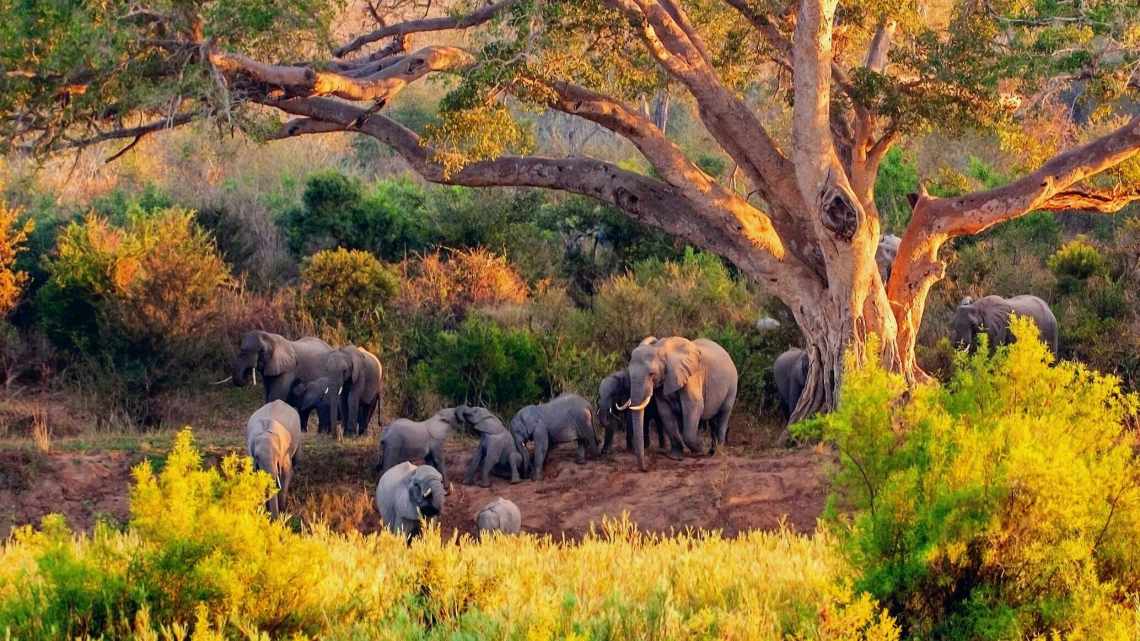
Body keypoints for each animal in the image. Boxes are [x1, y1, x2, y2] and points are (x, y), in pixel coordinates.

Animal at [624, 335, 738, 469]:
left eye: (652, 374)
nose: (646, 469)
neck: (661, 349)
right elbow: (665, 412)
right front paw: (675, 457)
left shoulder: (692, 376)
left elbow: (694, 406)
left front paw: (701, 449)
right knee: (712, 421)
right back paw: (711, 451)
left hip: (732, 385)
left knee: (723, 415)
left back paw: (716, 453)